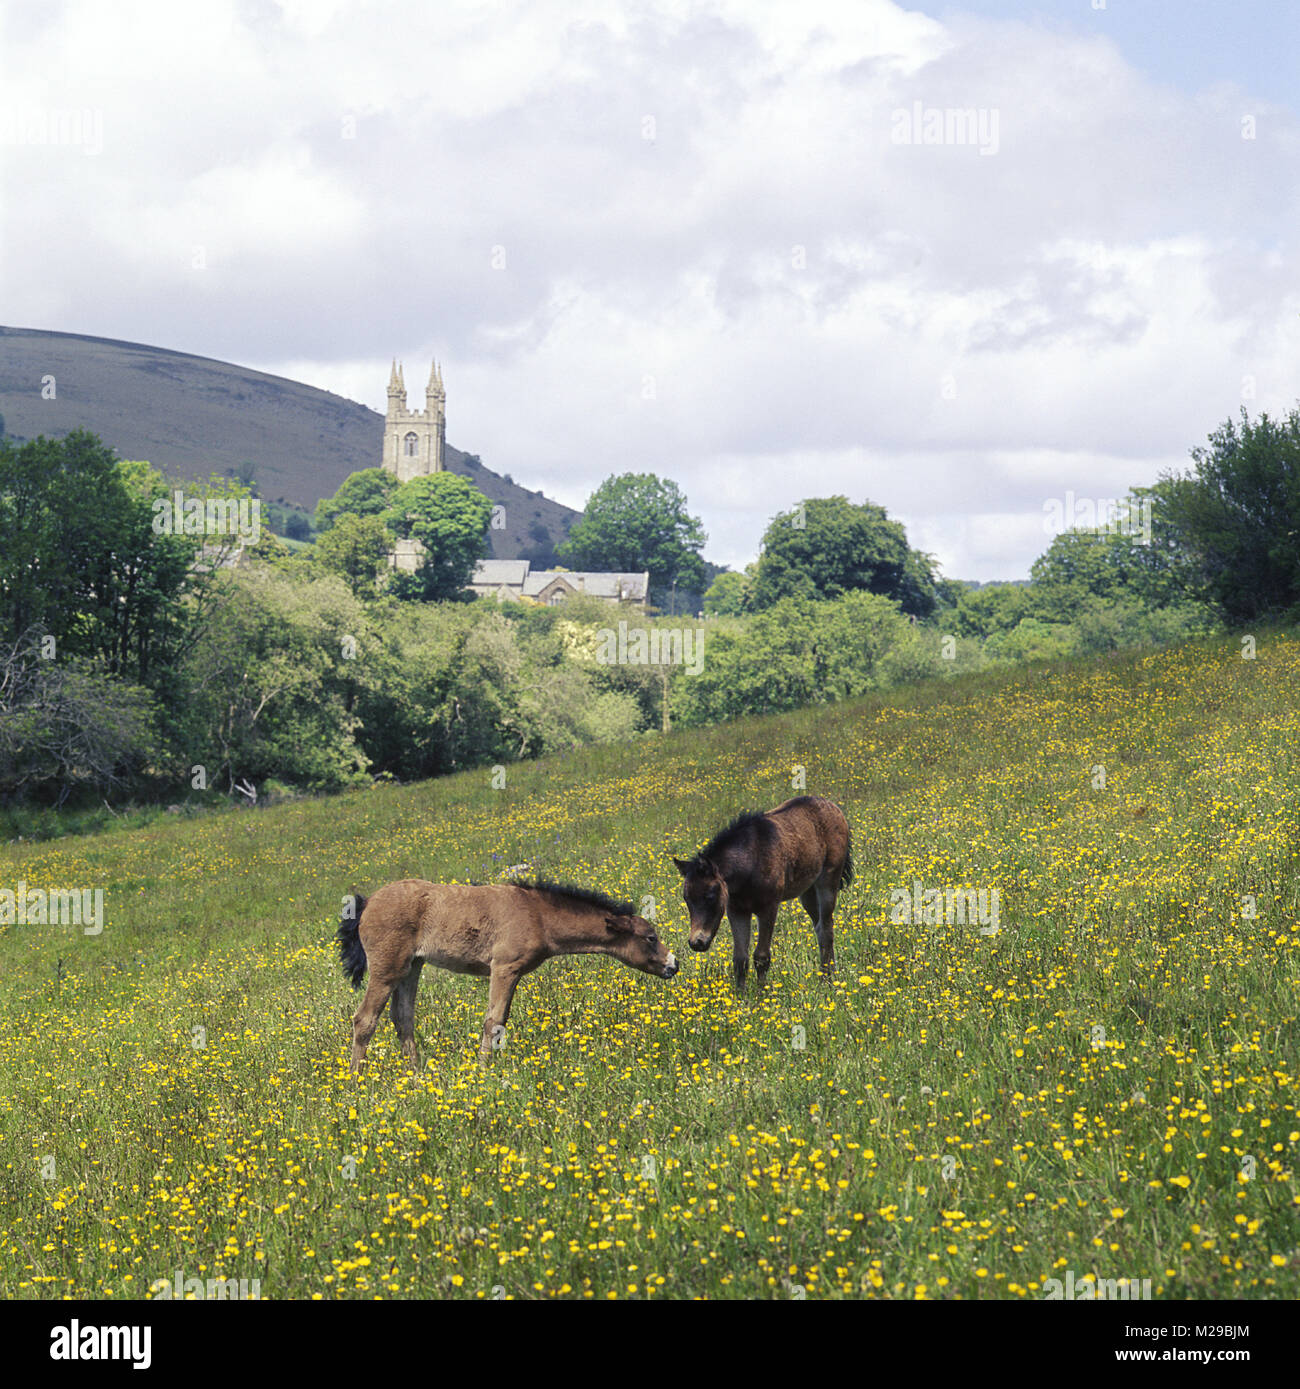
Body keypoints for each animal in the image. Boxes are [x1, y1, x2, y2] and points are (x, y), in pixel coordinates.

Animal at [334, 872, 680, 1066]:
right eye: (651, 938)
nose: (673, 964)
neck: (537, 915)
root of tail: (366, 904)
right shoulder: (504, 968)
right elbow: (494, 1021)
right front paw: (484, 1071)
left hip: (411, 967)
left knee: (403, 1019)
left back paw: (417, 1078)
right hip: (387, 967)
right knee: (364, 1020)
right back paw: (356, 1083)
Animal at [680, 794, 855, 988]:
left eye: (710, 896)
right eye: (686, 899)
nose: (697, 943)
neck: (751, 861)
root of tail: (835, 809)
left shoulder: (768, 908)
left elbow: (761, 956)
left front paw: (761, 992)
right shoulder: (737, 911)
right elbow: (740, 959)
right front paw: (740, 994)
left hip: (828, 883)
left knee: (826, 929)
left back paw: (828, 980)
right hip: (808, 892)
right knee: (820, 927)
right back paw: (827, 974)